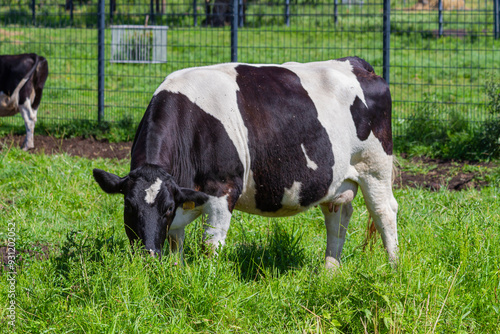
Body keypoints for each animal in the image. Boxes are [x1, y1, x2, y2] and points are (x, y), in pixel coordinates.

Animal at [93, 56, 398, 268]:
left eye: (166, 208)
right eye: (128, 206)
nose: (147, 256)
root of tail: (356, 64)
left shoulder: (222, 190)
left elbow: (209, 247)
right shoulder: (184, 194)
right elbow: (175, 241)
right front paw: (175, 274)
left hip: (375, 169)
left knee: (385, 213)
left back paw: (393, 270)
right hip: (337, 181)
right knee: (337, 218)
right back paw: (329, 273)